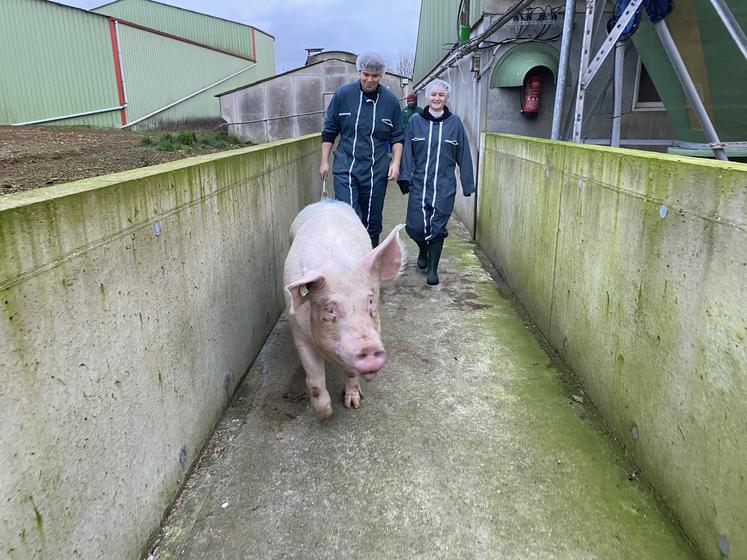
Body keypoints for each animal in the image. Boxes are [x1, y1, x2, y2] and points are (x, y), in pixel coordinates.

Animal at [284, 199, 406, 418]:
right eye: (330, 309)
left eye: (370, 301)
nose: (368, 348)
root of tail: (326, 199)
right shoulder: (299, 332)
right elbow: (315, 380)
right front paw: (326, 414)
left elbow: (350, 372)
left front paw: (353, 404)